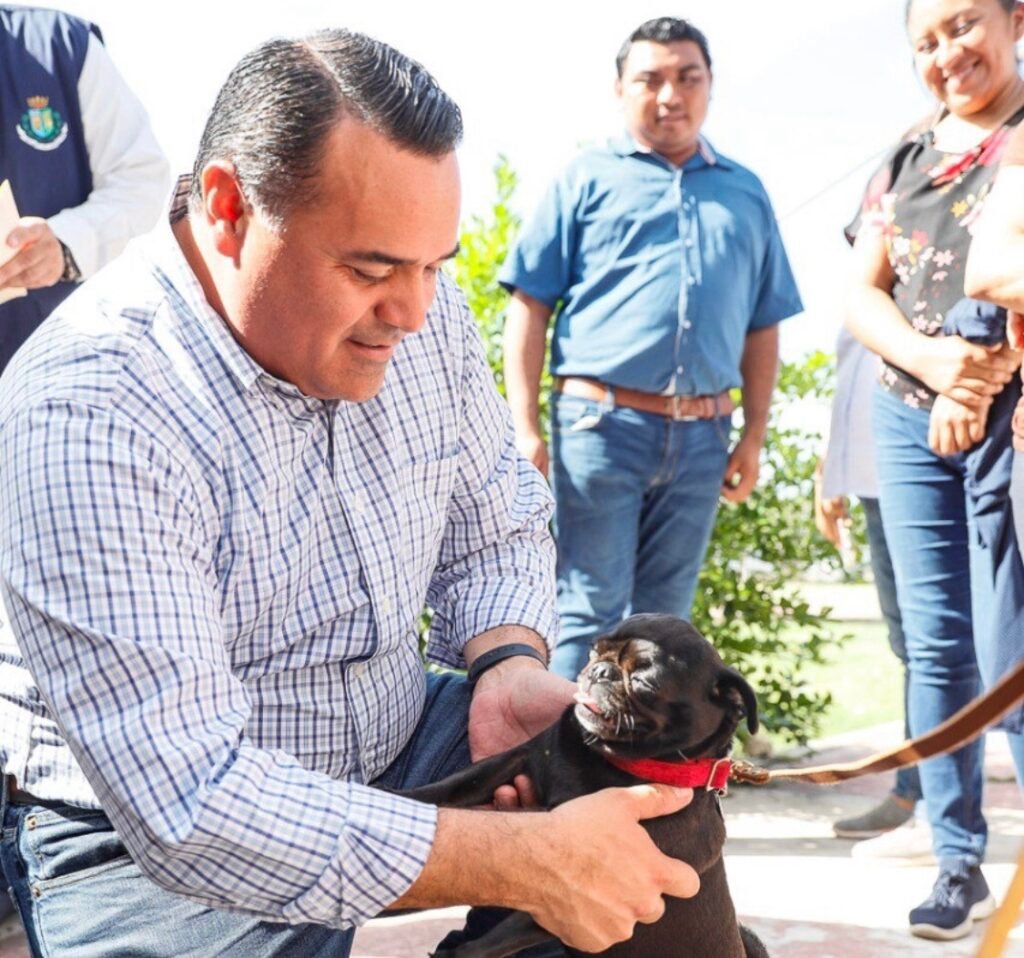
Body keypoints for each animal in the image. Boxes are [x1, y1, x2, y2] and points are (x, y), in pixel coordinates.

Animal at [401, 613, 770, 958]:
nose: (601, 670)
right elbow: (453, 787)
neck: (614, 761)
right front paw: (403, 799)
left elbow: (501, 934)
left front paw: (455, 953)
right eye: (594, 651)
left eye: (644, 681)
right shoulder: (518, 759)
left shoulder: (580, 891)